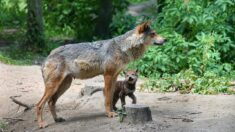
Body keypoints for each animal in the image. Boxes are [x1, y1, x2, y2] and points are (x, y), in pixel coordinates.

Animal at [36, 21, 165, 128]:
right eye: (153, 34)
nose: (165, 40)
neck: (122, 48)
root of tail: (48, 56)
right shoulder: (107, 75)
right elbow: (107, 98)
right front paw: (109, 113)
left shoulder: (115, 76)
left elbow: (112, 96)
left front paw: (113, 111)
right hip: (54, 87)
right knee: (39, 104)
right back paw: (42, 124)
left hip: (64, 86)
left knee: (51, 102)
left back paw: (57, 119)